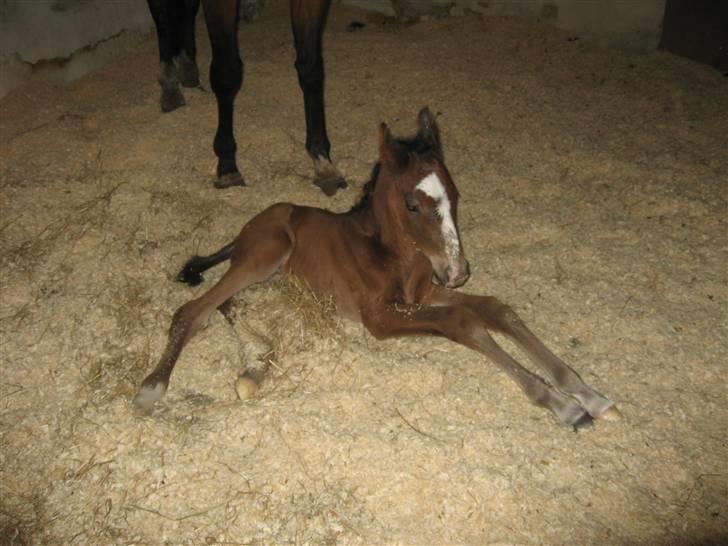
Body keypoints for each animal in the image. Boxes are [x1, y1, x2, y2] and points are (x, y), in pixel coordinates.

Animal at [132, 106, 620, 428]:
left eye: (455, 196)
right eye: (413, 204)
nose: (458, 271)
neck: (396, 255)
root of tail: (245, 228)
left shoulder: (424, 292)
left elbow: (496, 308)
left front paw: (589, 393)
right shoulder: (379, 316)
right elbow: (463, 320)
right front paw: (562, 404)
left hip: (268, 276)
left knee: (227, 306)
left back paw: (253, 369)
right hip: (265, 254)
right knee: (193, 311)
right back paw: (152, 387)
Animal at [146, 0, 346, 196]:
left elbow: (310, 68)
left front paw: (322, 160)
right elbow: (226, 72)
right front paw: (227, 164)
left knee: (188, 7)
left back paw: (187, 66)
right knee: (160, 11)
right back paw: (169, 83)